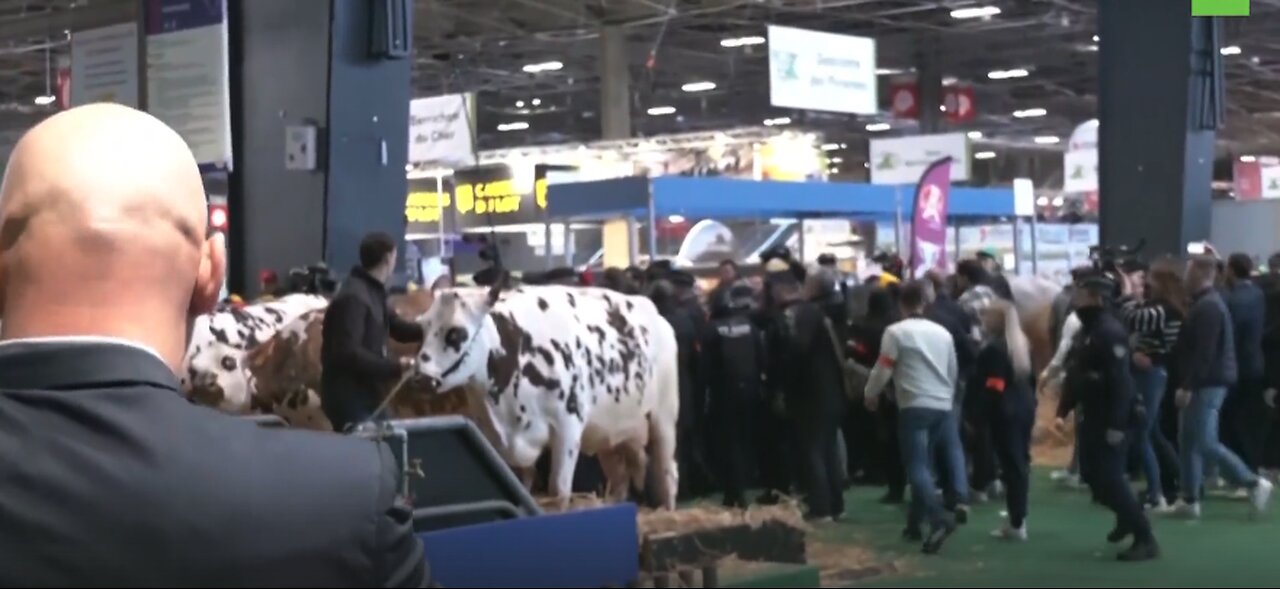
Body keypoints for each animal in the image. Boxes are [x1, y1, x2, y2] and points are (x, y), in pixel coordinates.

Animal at [414, 282, 686, 509]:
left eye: (455, 332)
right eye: (423, 327)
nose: (421, 378)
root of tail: (654, 312)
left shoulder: (568, 426)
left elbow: (559, 490)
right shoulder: (495, 438)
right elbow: (517, 485)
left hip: (663, 418)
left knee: (668, 472)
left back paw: (668, 510)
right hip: (611, 433)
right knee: (619, 480)